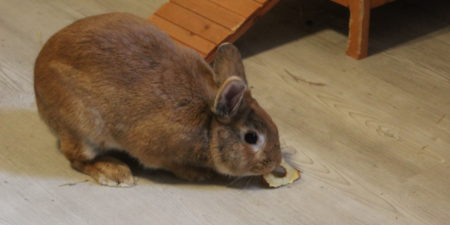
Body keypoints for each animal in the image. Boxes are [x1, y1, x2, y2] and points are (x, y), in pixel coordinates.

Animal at [34, 13, 282, 187]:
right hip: (83, 126)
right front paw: (198, 174)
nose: (275, 163)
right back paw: (115, 172)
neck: (209, 126)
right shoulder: (158, 151)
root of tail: (38, 79)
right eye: (251, 137)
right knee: (76, 158)